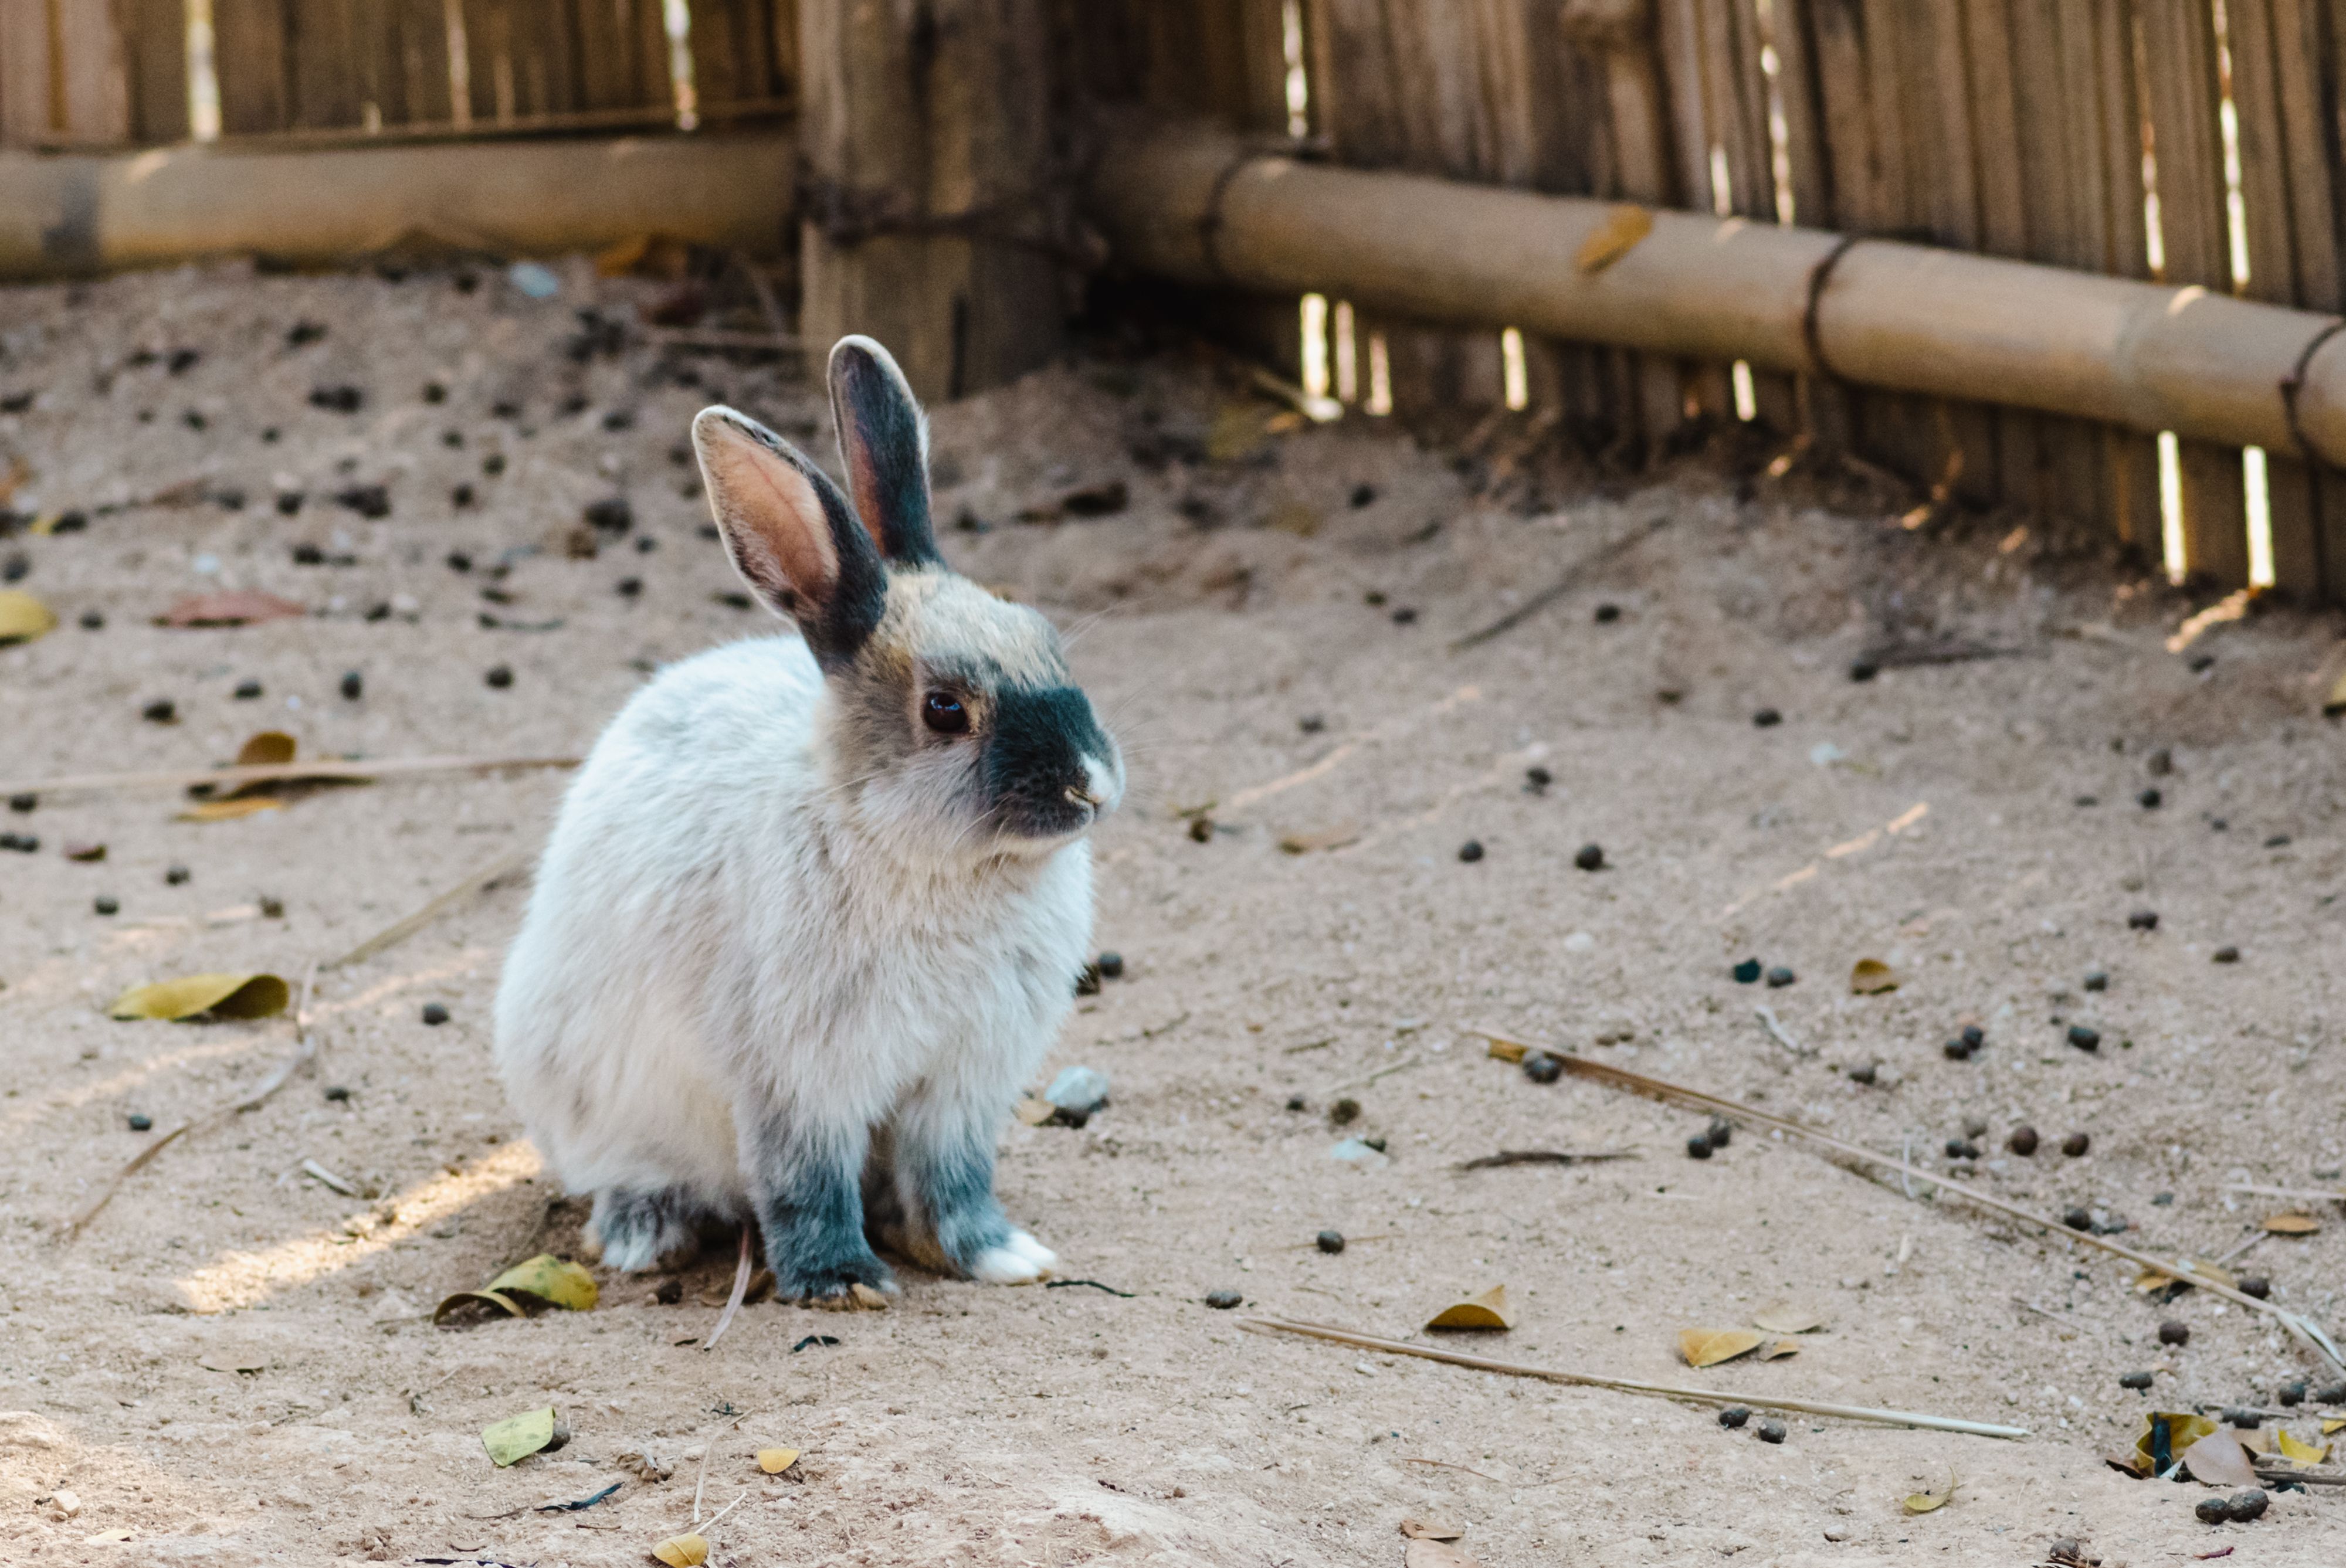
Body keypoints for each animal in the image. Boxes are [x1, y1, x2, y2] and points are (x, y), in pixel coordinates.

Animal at [492, 335, 1123, 1304]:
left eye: (1048, 642)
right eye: (945, 709)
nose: (1090, 785)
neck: (916, 850)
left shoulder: (961, 1085)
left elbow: (953, 1181)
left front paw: (998, 1255)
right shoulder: (797, 1080)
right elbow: (803, 1179)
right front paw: (840, 1283)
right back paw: (646, 1235)